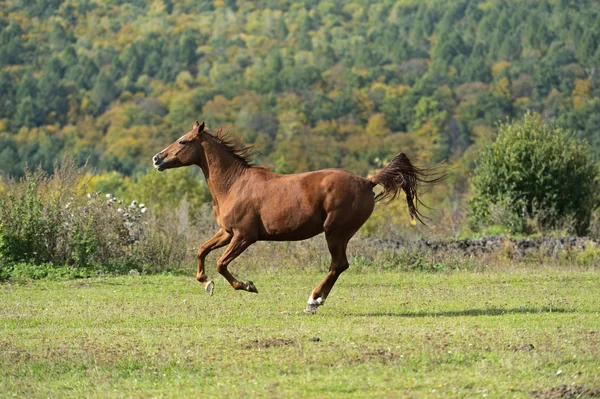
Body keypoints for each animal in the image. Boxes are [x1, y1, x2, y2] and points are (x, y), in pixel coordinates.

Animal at [154, 120, 446, 314]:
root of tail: (367, 181)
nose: (157, 159)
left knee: (338, 265)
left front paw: (248, 285)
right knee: (339, 266)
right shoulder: (227, 232)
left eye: (183, 141)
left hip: (335, 232)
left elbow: (221, 264)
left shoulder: (244, 236)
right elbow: (202, 251)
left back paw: (313, 301)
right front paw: (206, 284)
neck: (234, 184)